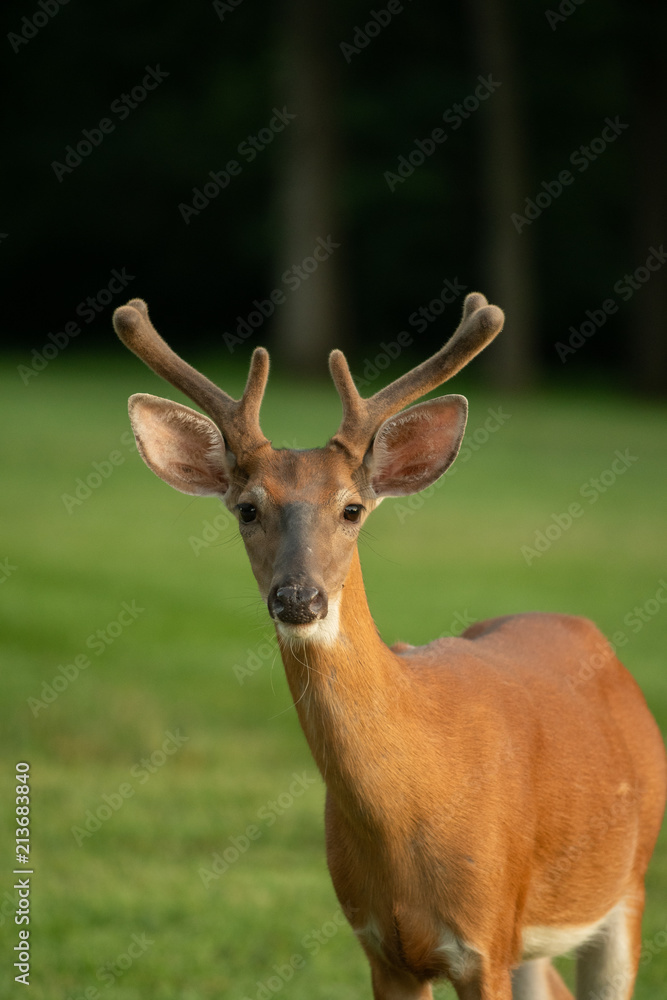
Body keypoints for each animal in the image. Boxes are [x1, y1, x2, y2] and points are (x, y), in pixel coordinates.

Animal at [115, 292, 667, 1000]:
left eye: (352, 509)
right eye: (247, 509)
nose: (298, 598)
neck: (415, 797)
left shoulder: (486, 940)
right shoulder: (382, 949)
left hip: (628, 884)